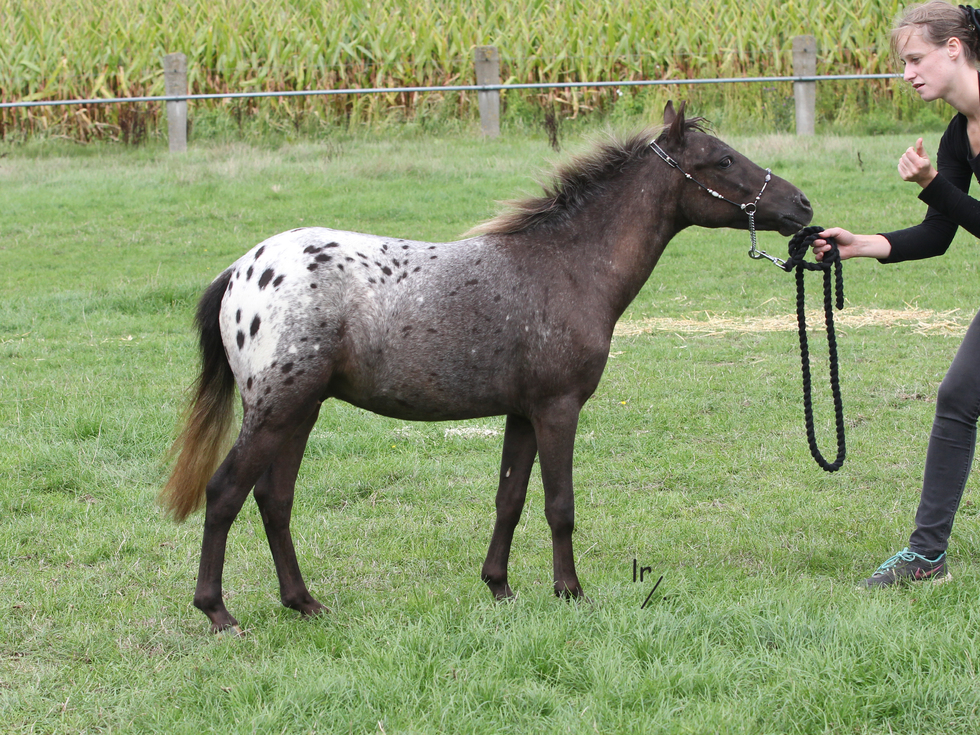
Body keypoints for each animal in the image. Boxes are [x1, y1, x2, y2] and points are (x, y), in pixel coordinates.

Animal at [161, 101, 813, 633]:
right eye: (723, 160)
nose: (801, 206)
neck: (567, 266)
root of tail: (241, 270)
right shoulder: (557, 408)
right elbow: (559, 505)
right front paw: (570, 591)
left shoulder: (522, 414)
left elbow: (510, 498)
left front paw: (499, 587)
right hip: (276, 409)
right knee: (225, 492)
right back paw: (218, 613)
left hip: (300, 411)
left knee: (274, 498)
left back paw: (304, 602)